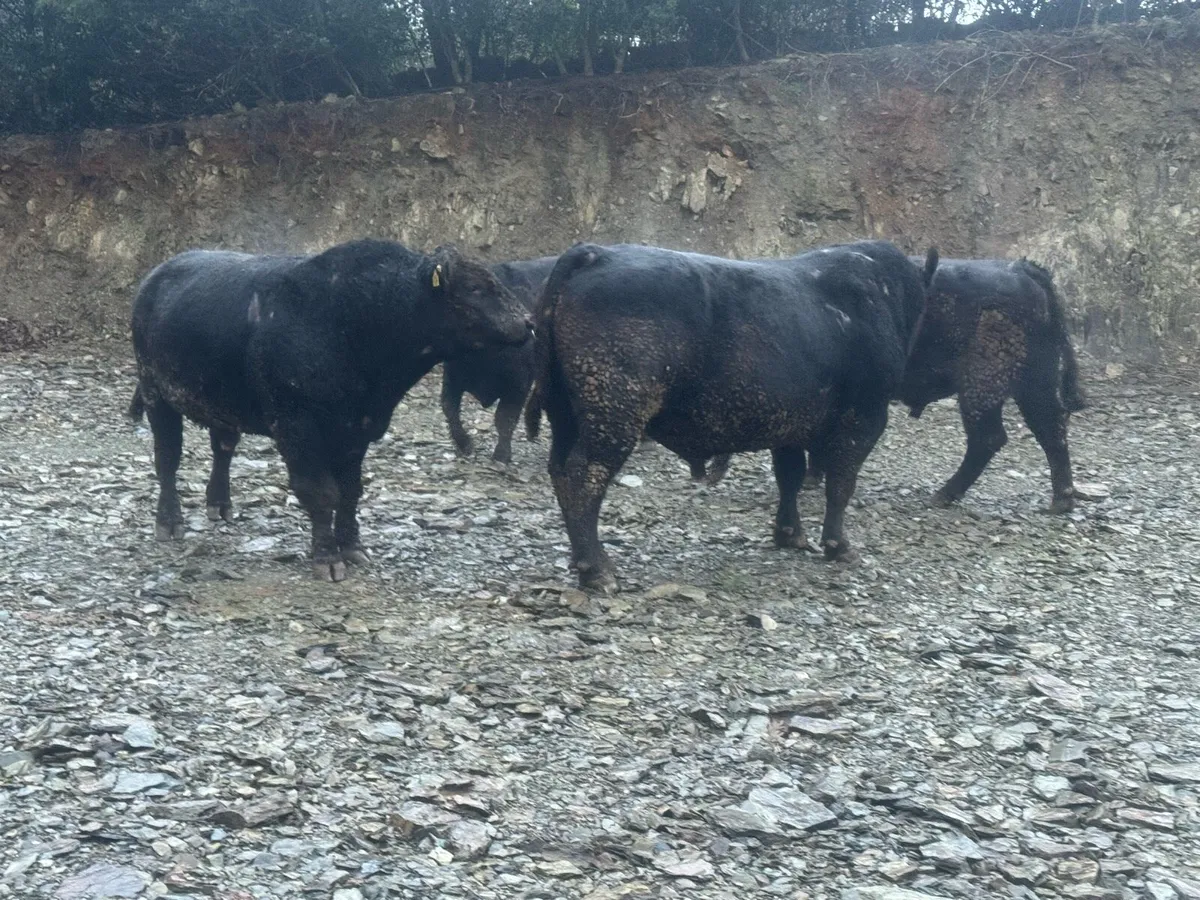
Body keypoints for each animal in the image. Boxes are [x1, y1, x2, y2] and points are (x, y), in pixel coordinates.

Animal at [129, 239, 532, 581]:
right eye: (475, 288)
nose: (528, 322)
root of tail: (157, 275)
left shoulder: (358, 429)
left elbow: (350, 490)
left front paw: (352, 547)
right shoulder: (298, 429)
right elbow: (321, 492)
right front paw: (327, 557)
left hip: (222, 403)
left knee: (222, 448)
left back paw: (220, 504)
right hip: (155, 393)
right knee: (168, 458)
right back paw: (169, 522)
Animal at [440, 255, 558, 463]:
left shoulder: (519, 385)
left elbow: (505, 418)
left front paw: (502, 455)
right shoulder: (452, 377)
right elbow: (450, 409)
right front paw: (464, 445)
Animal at [523, 240, 938, 591]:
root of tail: (595, 253)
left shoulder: (788, 426)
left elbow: (789, 477)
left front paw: (789, 534)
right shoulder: (864, 419)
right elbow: (841, 484)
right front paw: (839, 545)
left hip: (568, 417)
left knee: (561, 472)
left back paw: (582, 560)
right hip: (613, 419)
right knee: (585, 478)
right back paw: (597, 569)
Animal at [797, 257, 1085, 513]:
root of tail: (1022, 270)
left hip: (982, 389)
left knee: (989, 438)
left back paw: (944, 494)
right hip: (1033, 384)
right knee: (1051, 430)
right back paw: (1061, 500)